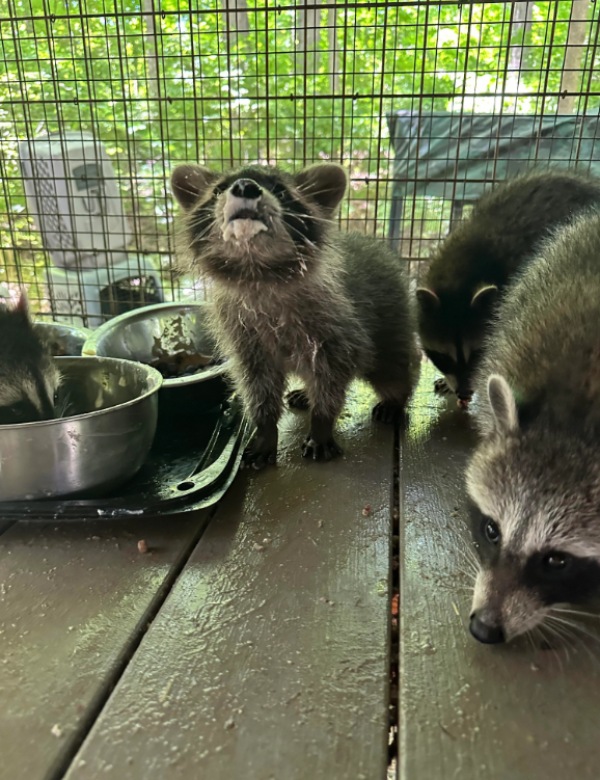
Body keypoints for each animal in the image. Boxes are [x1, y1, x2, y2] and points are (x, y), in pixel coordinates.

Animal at [171, 158, 420, 464]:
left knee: (394, 369)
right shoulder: (244, 337)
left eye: (280, 190)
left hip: (392, 323)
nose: (244, 186)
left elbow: (335, 373)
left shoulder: (337, 325)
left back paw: (397, 397)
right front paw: (265, 428)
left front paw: (322, 423)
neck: (257, 271)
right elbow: (257, 385)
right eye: (218, 190)